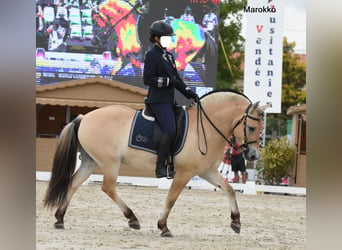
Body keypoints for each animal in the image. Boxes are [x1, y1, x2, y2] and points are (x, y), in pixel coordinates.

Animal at [44, 89, 266, 236]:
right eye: (252, 128)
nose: (253, 156)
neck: (206, 127)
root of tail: (84, 117)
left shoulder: (207, 171)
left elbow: (229, 189)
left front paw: (236, 222)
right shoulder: (184, 173)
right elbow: (171, 199)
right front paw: (163, 226)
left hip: (91, 162)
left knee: (73, 184)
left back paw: (60, 219)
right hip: (110, 163)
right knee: (108, 187)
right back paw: (132, 219)